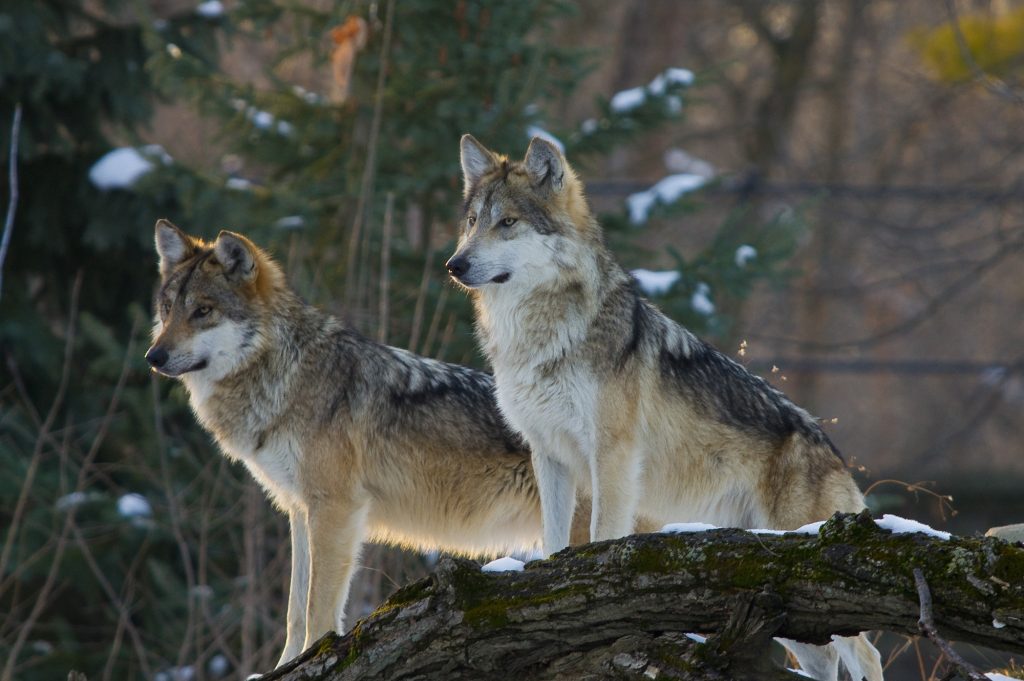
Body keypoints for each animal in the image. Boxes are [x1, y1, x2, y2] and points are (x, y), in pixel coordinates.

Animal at [146, 220, 614, 667]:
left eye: (203, 311)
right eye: (167, 310)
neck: (287, 373)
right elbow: (295, 610)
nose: (153, 357)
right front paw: (284, 664)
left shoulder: (336, 509)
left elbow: (317, 608)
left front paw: (316, 655)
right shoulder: (301, 511)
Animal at [448, 134, 888, 679]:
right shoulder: (548, 456)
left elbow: (600, 536)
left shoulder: (612, 457)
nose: (454, 264)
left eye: (507, 222)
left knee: (867, 652)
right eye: (472, 222)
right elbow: (553, 539)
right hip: (787, 595)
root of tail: (832, 448)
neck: (542, 338)